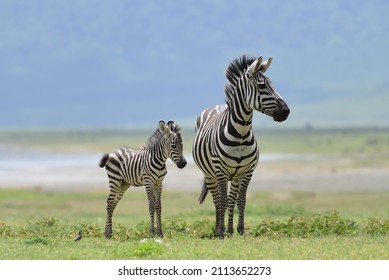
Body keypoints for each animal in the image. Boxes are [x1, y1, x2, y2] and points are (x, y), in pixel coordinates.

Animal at [192, 53, 290, 237]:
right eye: (262, 86)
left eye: (272, 85)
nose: (286, 112)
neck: (240, 134)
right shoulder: (221, 171)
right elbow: (222, 201)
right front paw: (221, 232)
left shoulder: (247, 172)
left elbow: (241, 200)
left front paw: (240, 230)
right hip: (210, 174)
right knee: (217, 200)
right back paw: (218, 229)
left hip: (235, 175)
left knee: (231, 199)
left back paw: (229, 230)